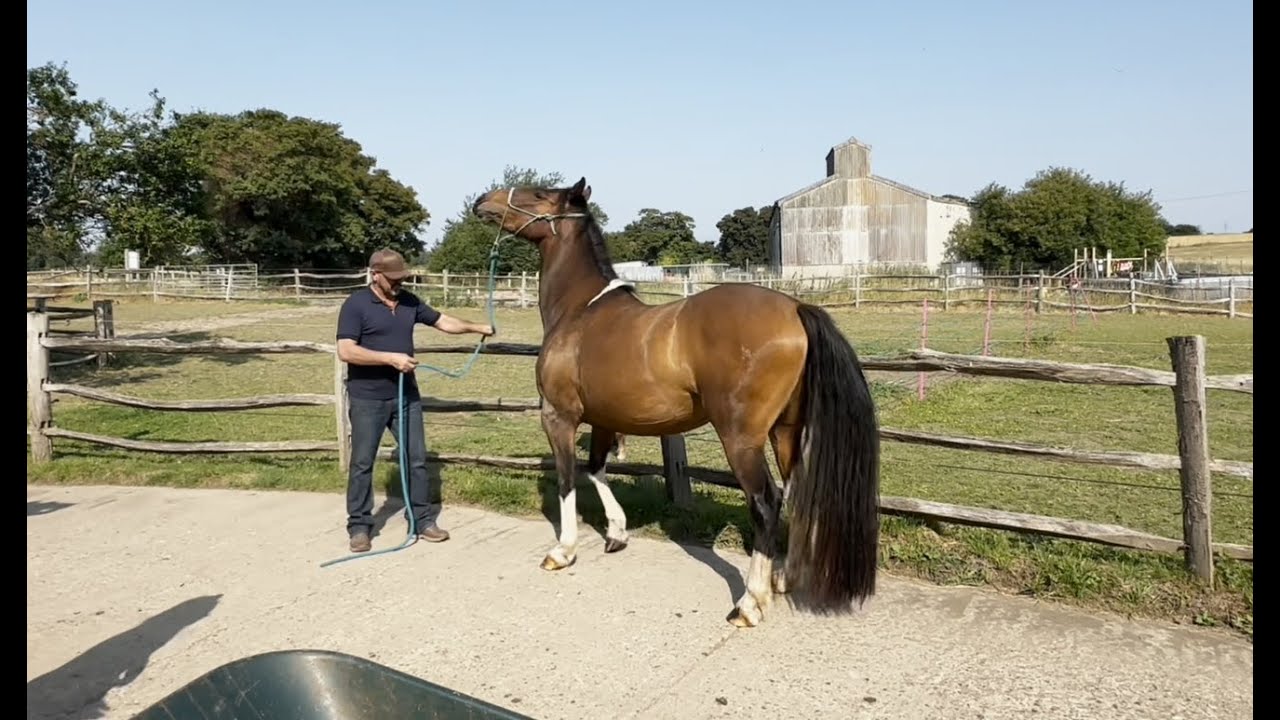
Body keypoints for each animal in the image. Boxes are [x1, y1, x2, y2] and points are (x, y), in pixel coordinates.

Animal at [472, 178, 881, 627]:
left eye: (540, 194)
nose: (483, 200)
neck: (579, 312)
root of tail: (796, 308)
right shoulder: (604, 419)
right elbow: (597, 470)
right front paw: (616, 532)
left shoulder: (558, 416)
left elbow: (567, 479)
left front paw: (563, 551)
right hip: (786, 432)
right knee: (795, 493)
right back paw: (784, 579)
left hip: (741, 439)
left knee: (766, 502)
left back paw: (750, 603)